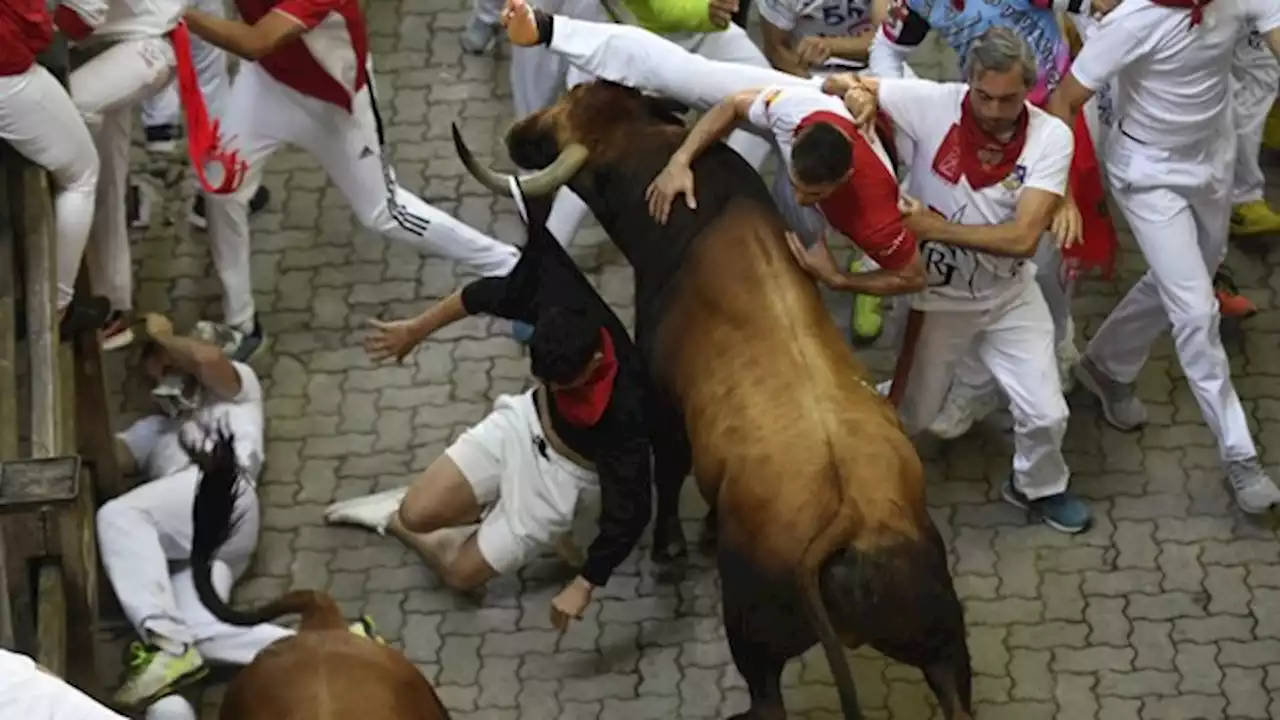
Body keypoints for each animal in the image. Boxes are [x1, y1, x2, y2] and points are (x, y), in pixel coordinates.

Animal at [455, 79, 972, 717]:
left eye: (567, 103)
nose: (517, 134)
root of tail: (853, 517)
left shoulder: (665, 404)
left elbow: (670, 471)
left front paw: (672, 545)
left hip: (754, 637)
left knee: (767, 698)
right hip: (941, 638)